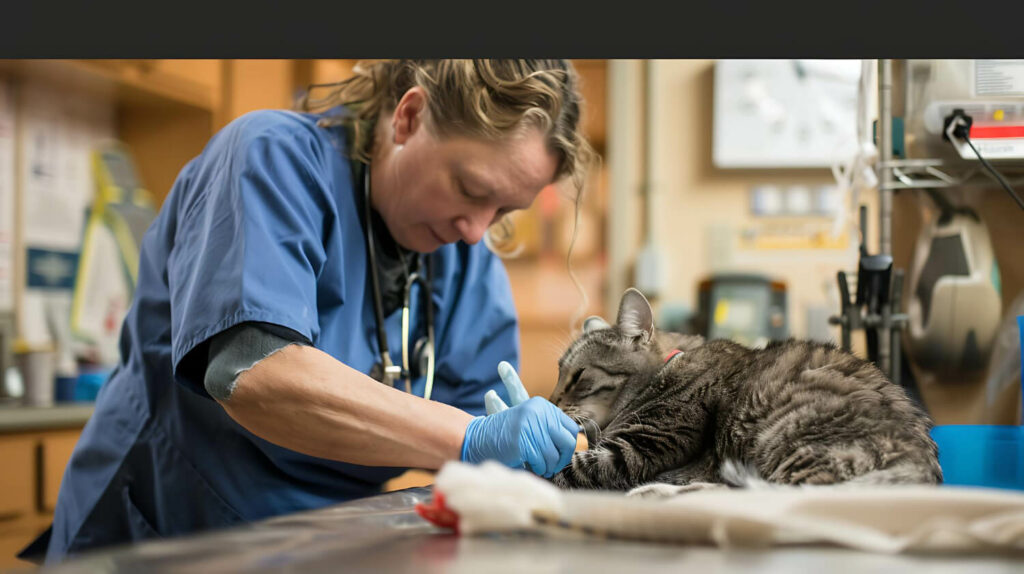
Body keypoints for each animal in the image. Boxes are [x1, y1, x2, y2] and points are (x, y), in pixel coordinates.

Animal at [548, 288, 937, 495]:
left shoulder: (640, 446)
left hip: (789, 440)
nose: (550, 401)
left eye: (578, 375)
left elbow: (568, 469)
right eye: (557, 372)